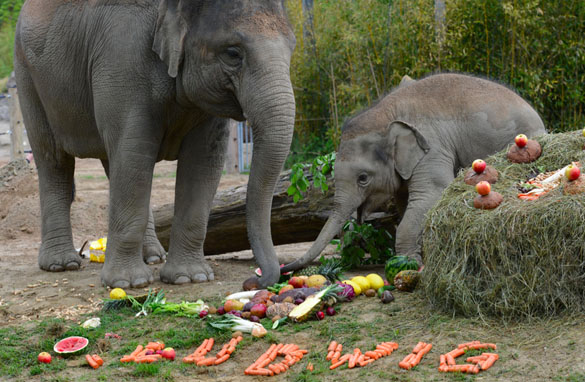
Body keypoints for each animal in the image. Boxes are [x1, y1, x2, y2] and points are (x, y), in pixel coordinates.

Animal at [13, 0, 296, 286]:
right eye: (232, 53)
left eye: (292, 48)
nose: (254, 280)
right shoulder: (123, 57)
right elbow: (134, 151)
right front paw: (128, 283)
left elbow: (203, 161)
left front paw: (190, 278)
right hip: (26, 76)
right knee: (54, 160)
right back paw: (62, 265)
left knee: (113, 163)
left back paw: (153, 257)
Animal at [280, 74, 544, 272]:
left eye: (363, 178)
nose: (285, 269)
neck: (386, 114)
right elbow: (406, 202)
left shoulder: (432, 148)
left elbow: (430, 194)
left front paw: (407, 262)